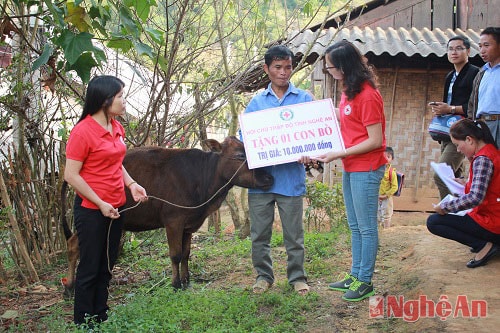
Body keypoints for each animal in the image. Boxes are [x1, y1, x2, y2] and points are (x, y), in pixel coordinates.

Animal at [62, 136, 274, 294]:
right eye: (240, 155)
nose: (269, 177)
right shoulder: (173, 220)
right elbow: (175, 254)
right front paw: (176, 284)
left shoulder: (189, 224)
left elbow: (187, 253)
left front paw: (187, 280)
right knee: (73, 245)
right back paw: (69, 287)